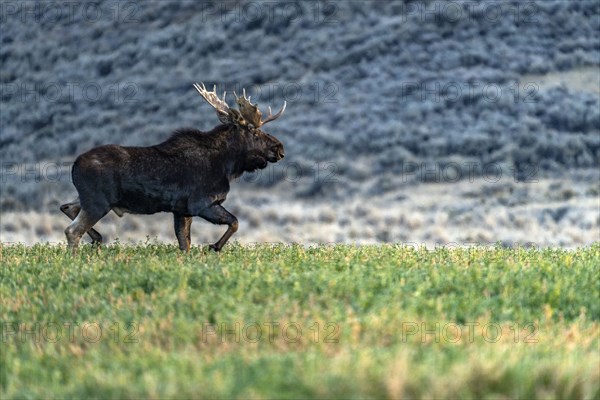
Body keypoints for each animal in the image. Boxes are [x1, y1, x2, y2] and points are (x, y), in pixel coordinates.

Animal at [61, 83, 286, 252]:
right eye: (253, 132)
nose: (279, 148)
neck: (226, 166)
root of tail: (74, 166)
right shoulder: (202, 203)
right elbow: (235, 222)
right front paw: (214, 246)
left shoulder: (181, 210)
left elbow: (185, 243)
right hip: (98, 201)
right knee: (72, 231)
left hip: (89, 199)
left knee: (67, 207)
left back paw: (97, 239)